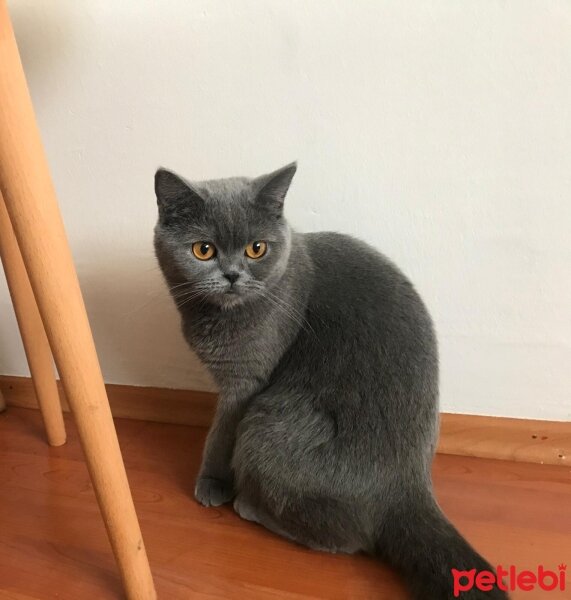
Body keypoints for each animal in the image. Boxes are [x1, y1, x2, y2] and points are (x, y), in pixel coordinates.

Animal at [153, 164, 510, 600]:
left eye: (257, 249)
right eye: (203, 250)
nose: (233, 275)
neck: (216, 316)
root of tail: (410, 489)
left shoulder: (247, 382)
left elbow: (219, 435)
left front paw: (211, 483)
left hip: (267, 422)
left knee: (347, 540)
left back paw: (251, 507)